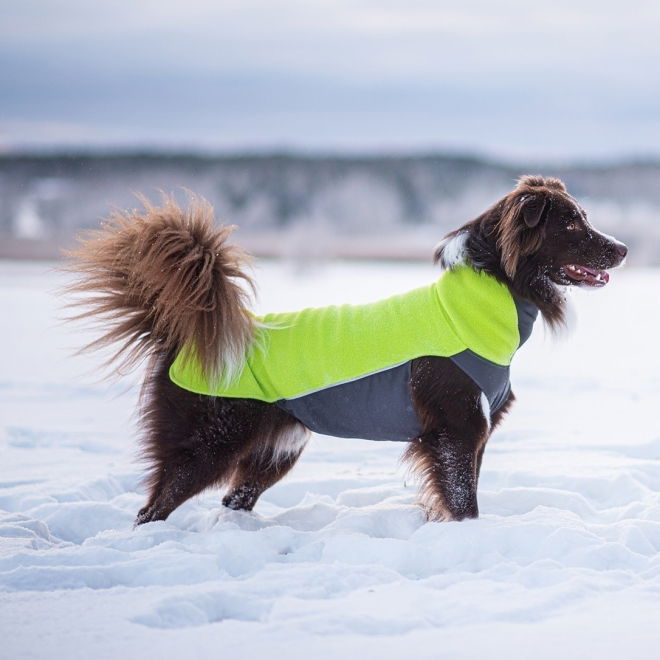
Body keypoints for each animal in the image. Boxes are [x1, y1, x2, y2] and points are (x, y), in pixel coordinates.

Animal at [67, 177, 628, 524]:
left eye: (584, 218)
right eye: (571, 224)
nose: (623, 248)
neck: (480, 301)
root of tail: (187, 338)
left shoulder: (476, 436)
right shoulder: (454, 432)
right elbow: (462, 500)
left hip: (276, 449)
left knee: (233, 499)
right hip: (207, 445)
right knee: (151, 510)